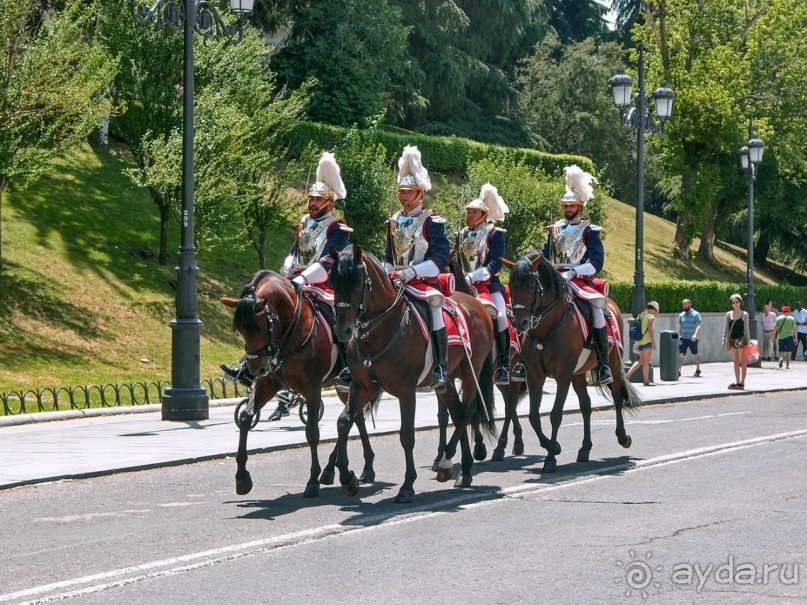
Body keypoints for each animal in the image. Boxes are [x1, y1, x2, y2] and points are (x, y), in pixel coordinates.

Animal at [218, 272, 376, 498]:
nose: (256, 369)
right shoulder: (267, 383)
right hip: (347, 387)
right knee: (356, 418)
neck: (289, 332)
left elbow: (312, 432)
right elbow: (246, 418)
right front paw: (242, 477)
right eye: (240, 328)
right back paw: (352, 468)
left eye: (261, 326)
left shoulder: (312, 388)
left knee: (352, 418)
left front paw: (312, 481)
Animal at [330, 243, 498, 502]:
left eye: (357, 282)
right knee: (458, 412)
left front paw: (407, 485)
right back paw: (464, 471)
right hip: (447, 382)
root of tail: (478, 305)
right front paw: (348, 479)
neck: (381, 328)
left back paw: (446, 461)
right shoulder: (362, 386)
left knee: (467, 412)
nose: (342, 330)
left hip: (472, 372)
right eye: (333, 282)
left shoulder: (406, 390)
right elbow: (343, 423)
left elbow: (406, 435)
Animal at [504, 250, 644, 472]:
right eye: (511, 285)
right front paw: (553, 446)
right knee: (586, 405)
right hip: (578, 374)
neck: (546, 329)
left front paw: (550, 458)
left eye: (530, 284)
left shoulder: (563, 375)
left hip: (612, 363)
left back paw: (623, 437)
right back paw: (585, 449)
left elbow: (555, 415)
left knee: (616, 396)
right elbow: (534, 416)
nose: (520, 323)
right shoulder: (535, 375)